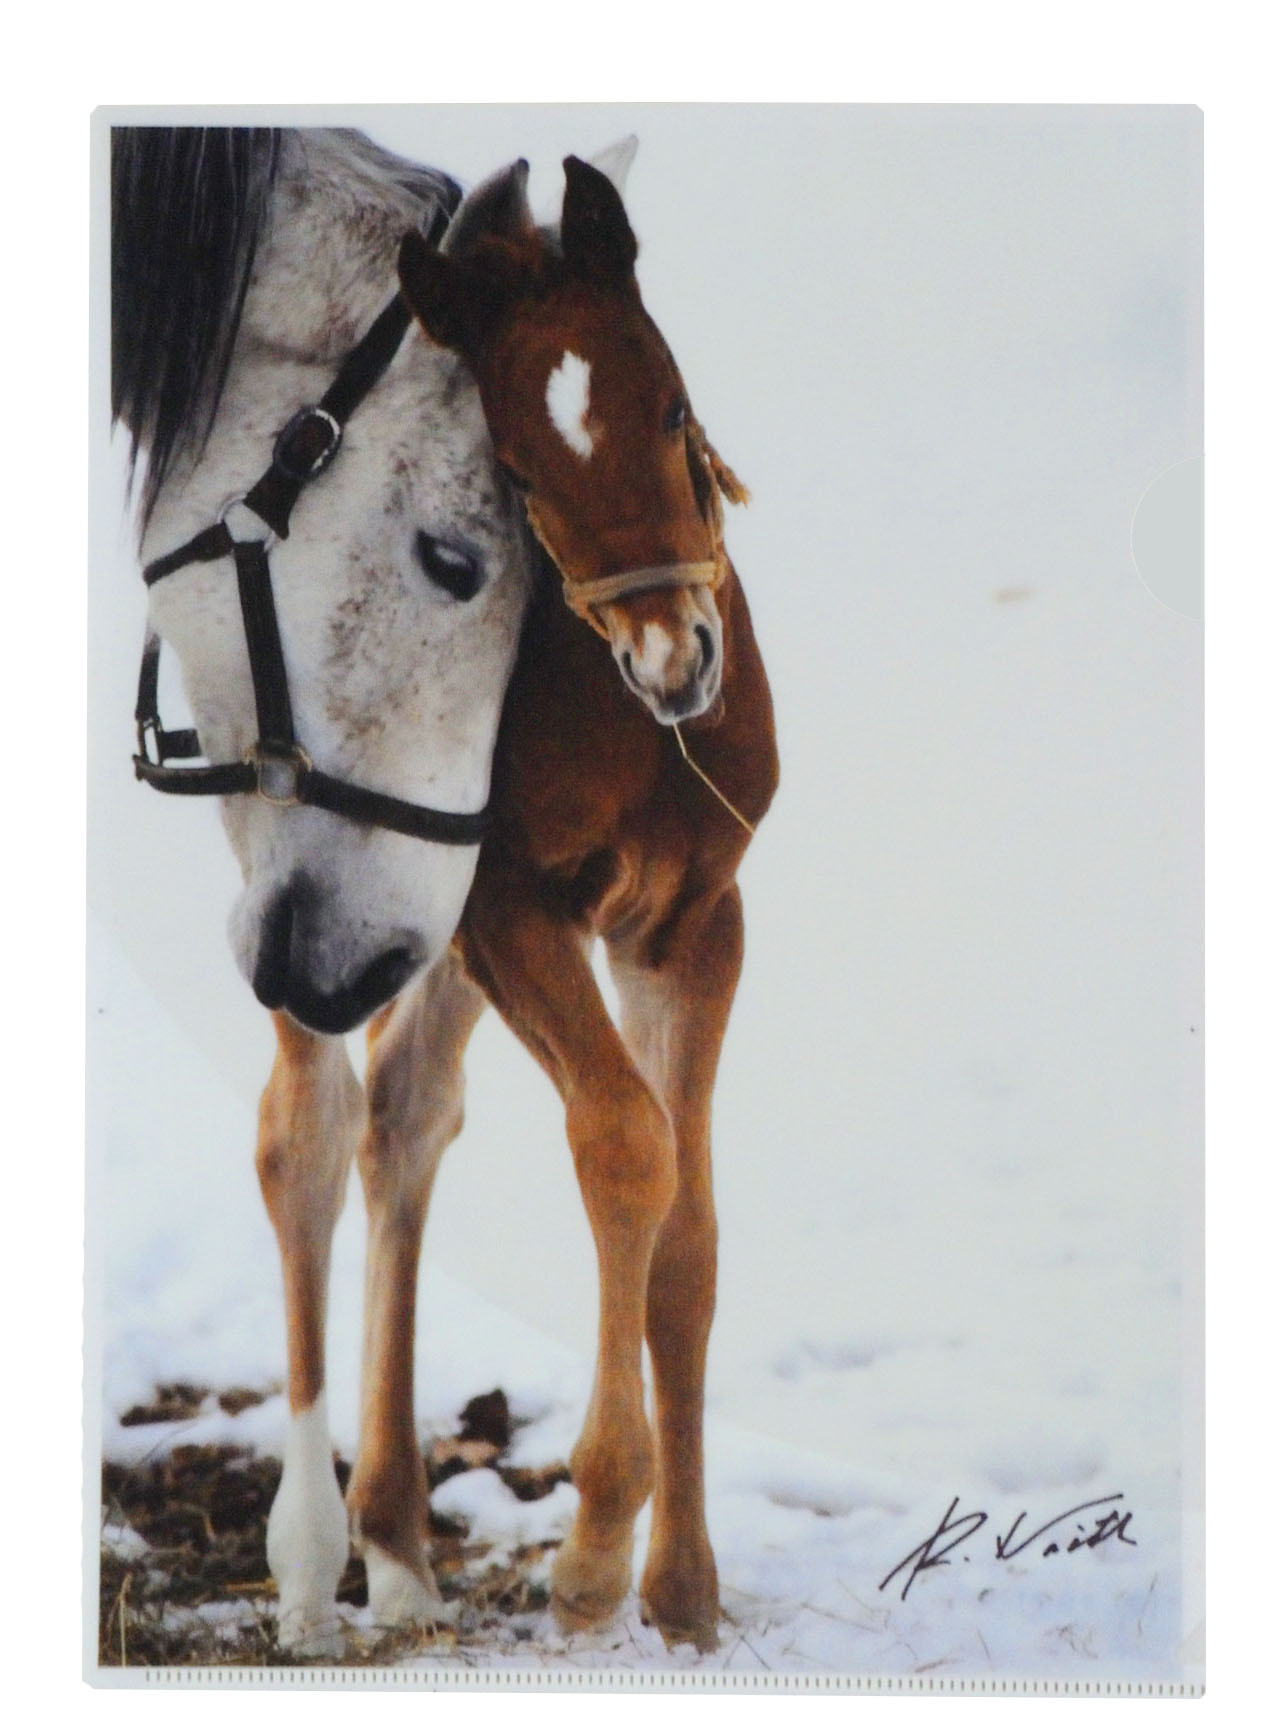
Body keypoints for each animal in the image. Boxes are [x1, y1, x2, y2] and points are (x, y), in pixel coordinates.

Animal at [112, 126, 534, 1653]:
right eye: (456, 560)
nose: (369, 965)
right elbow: (306, 1130)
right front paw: (306, 1556)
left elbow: (383, 1119)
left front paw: (384, 1546)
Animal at [374, 148, 776, 1649]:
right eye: (515, 469)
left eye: (670, 403)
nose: (677, 661)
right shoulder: (511, 912)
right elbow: (624, 1146)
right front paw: (598, 1548)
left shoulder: (692, 922)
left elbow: (690, 1237)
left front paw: (687, 1589)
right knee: (310, 1126)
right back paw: (327, 1558)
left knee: (403, 1114)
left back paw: (392, 1536)